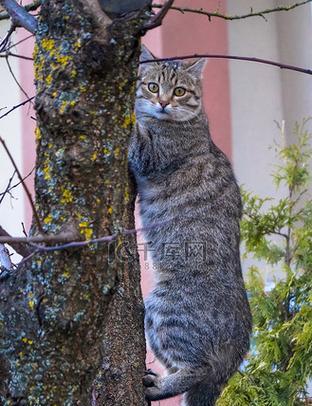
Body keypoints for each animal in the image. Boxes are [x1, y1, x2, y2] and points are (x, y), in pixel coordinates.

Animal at [128, 46, 252, 406]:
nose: (163, 102)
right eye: (153, 86)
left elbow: (135, 135)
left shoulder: (151, 154)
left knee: (196, 369)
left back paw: (158, 386)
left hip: (165, 309)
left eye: (180, 91)